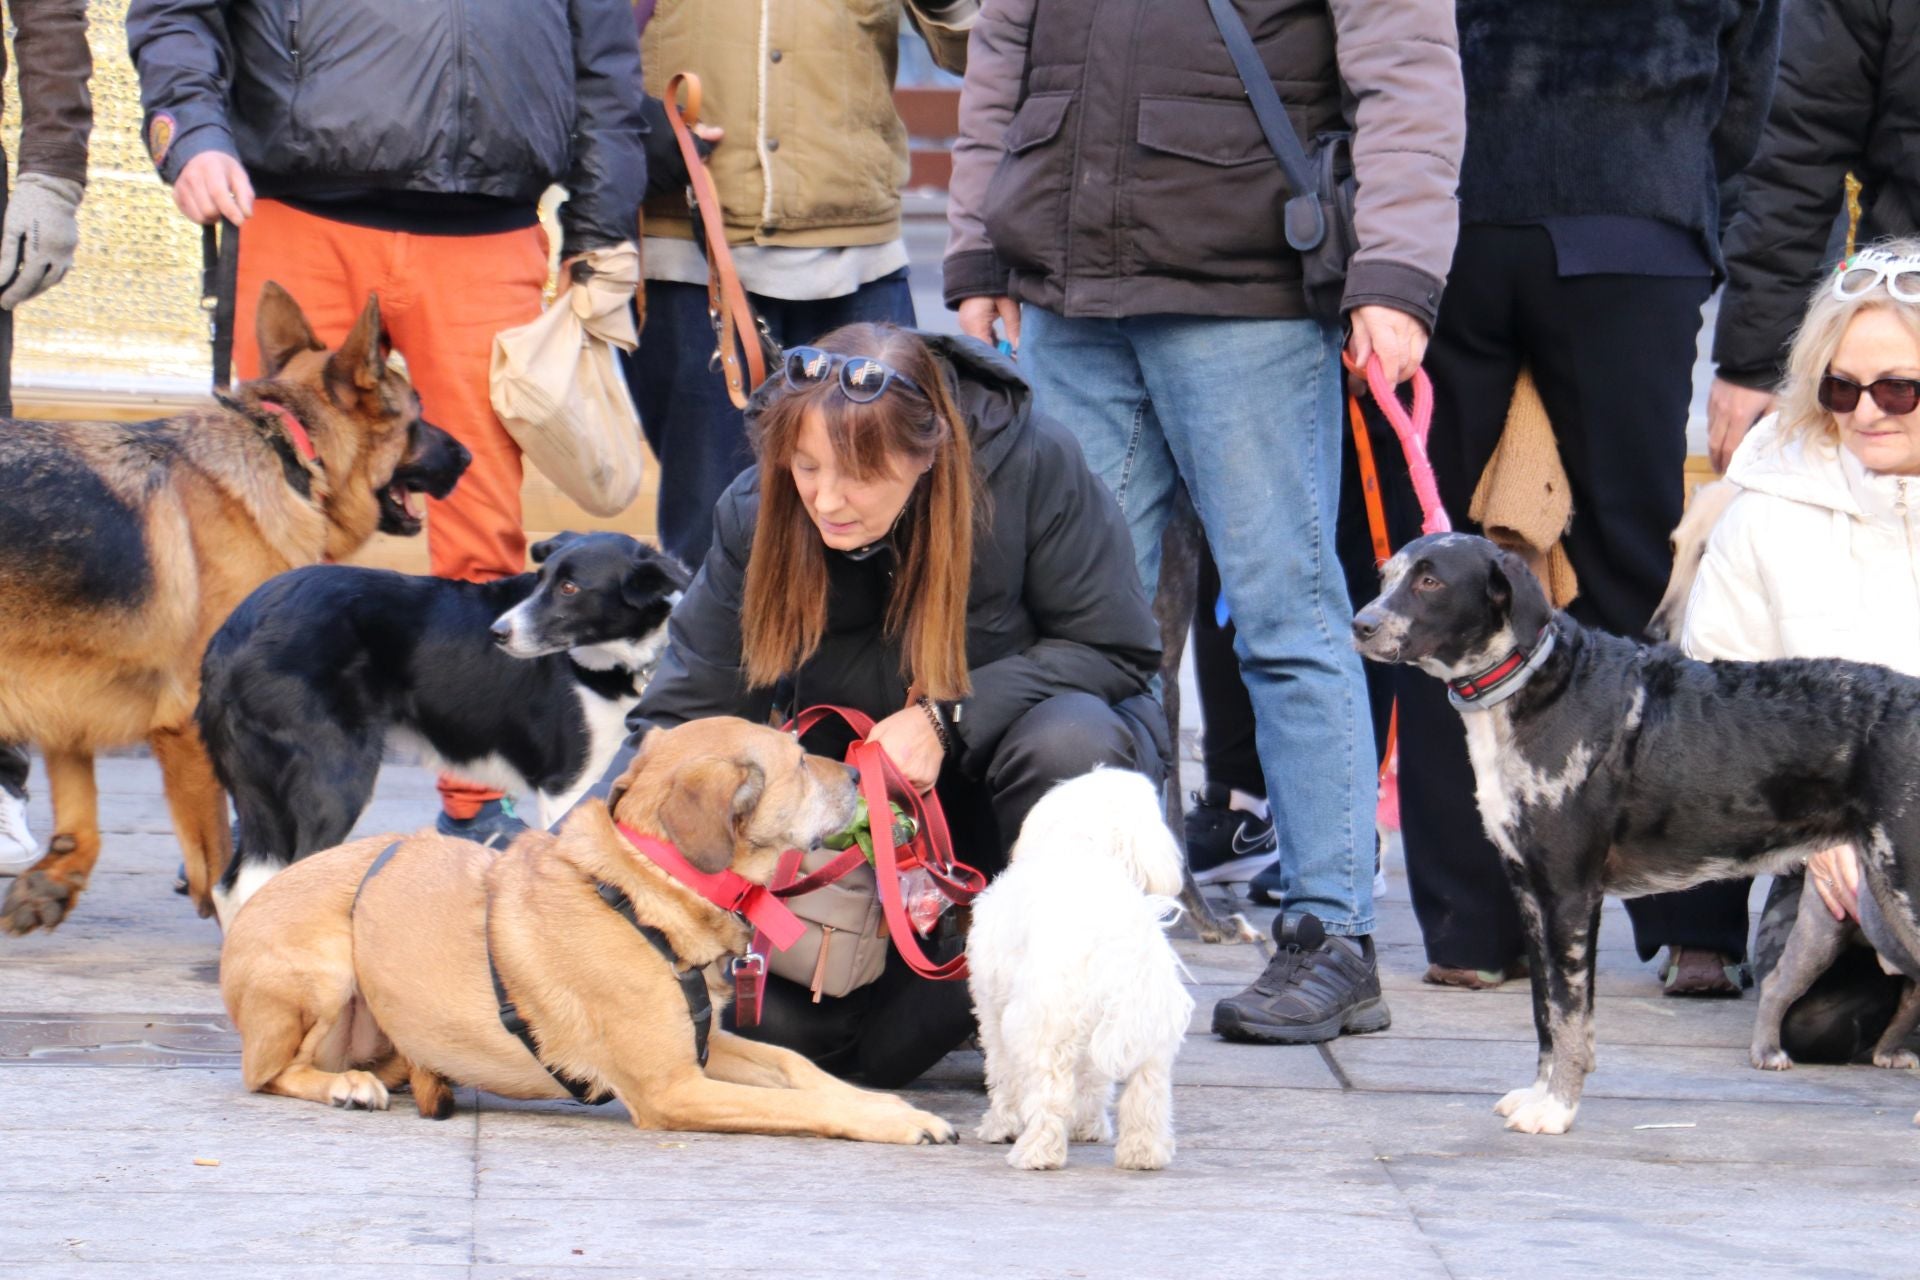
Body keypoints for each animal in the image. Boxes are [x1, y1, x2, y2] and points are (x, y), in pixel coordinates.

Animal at [0, 285, 468, 936]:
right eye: (416, 415)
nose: (470, 456)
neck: (291, 451)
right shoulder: (186, 728)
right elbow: (221, 864)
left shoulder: (68, 690)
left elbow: (79, 803)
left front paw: (55, 877)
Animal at [220, 717, 960, 1143]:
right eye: (802, 761)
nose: (866, 772)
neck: (648, 891)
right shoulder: (673, 1089)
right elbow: (803, 1108)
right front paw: (895, 1121)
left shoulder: (699, 1047)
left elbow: (797, 1066)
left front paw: (884, 1102)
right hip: (323, 971)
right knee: (267, 1073)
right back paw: (343, 1086)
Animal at [967, 767, 1190, 1174]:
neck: (1085, 847)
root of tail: (1113, 935)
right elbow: (1093, 1082)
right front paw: (1089, 1126)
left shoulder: (993, 1007)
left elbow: (1002, 1072)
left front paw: (1000, 1126)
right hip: (1144, 1027)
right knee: (1146, 1092)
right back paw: (1143, 1154)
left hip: (1044, 1020)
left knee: (1048, 1091)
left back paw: (1036, 1153)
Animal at [1351, 537, 1920, 1136]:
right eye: (1386, 576)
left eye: (1430, 582)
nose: (1361, 624)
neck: (1539, 690)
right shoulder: (1531, 893)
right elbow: (1544, 1011)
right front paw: (1539, 1094)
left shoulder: (1571, 895)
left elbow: (1570, 1015)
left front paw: (1557, 1108)